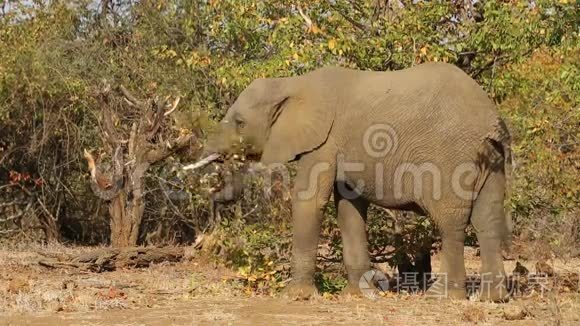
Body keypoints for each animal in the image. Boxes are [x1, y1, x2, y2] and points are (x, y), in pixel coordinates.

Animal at [202, 62, 510, 302]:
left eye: (240, 122)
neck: (292, 84)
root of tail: (490, 119)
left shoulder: (324, 142)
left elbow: (310, 200)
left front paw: (296, 297)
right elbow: (348, 210)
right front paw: (358, 294)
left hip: (450, 158)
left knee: (450, 223)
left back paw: (442, 297)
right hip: (490, 158)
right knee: (488, 220)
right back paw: (493, 298)